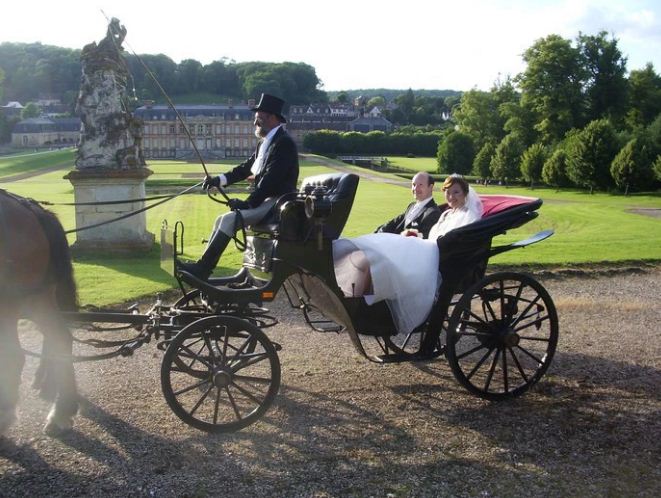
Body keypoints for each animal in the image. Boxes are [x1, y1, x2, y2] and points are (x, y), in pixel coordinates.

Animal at [0, 191, 78, 436]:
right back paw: (61, 408)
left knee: (15, 356)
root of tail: (31, 208)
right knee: (60, 337)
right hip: (37, 298)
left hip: (12, 301)